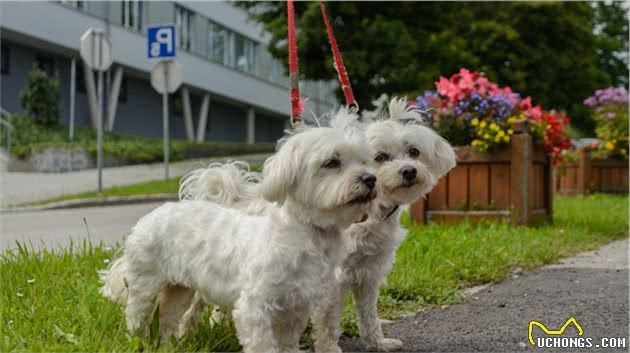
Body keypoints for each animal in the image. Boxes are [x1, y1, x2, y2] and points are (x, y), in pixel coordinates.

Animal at [99, 108, 378, 352]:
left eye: (366, 161)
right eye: (331, 162)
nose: (370, 179)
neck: (304, 234)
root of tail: (149, 217)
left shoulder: (295, 310)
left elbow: (288, 343)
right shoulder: (254, 308)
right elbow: (262, 344)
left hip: (179, 290)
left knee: (166, 323)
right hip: (145, 288)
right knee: (137, 322)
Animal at [178, 97, 460, 350]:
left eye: (414, 152)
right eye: (380, 157)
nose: (409, 171)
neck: (369, 217)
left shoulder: (369, 275)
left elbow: (369, 315)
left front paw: (377, 343)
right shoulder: (334, 280)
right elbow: (328, 320)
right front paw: (328, 347)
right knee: (194, 306)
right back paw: (185, 334)